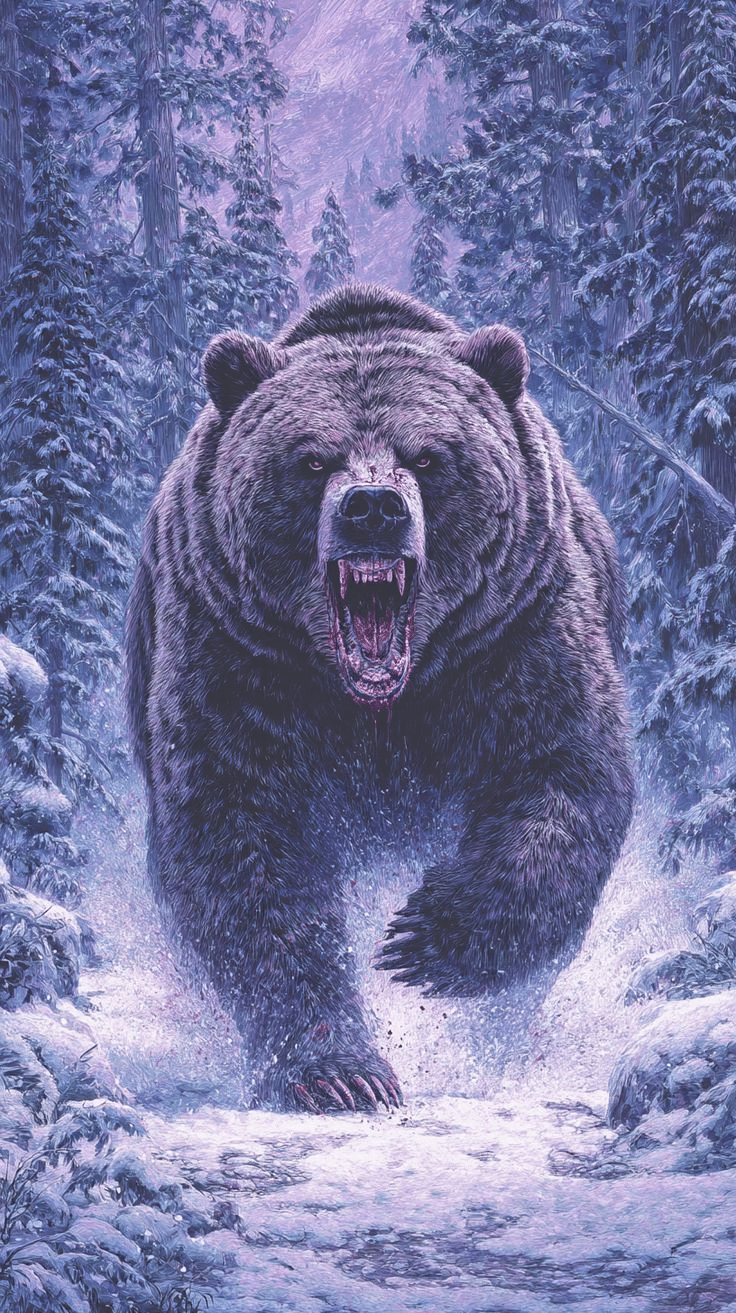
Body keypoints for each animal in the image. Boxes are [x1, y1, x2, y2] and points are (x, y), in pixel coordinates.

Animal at [125, 284, 635, 1114]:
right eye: (313, 458)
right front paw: (339, 1071)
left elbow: (559, 774)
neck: (377, 697)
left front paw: (421, 939)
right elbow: (245, 843)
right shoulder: (239, 654)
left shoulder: (512, 634)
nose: (372, 507)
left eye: (427, 454)